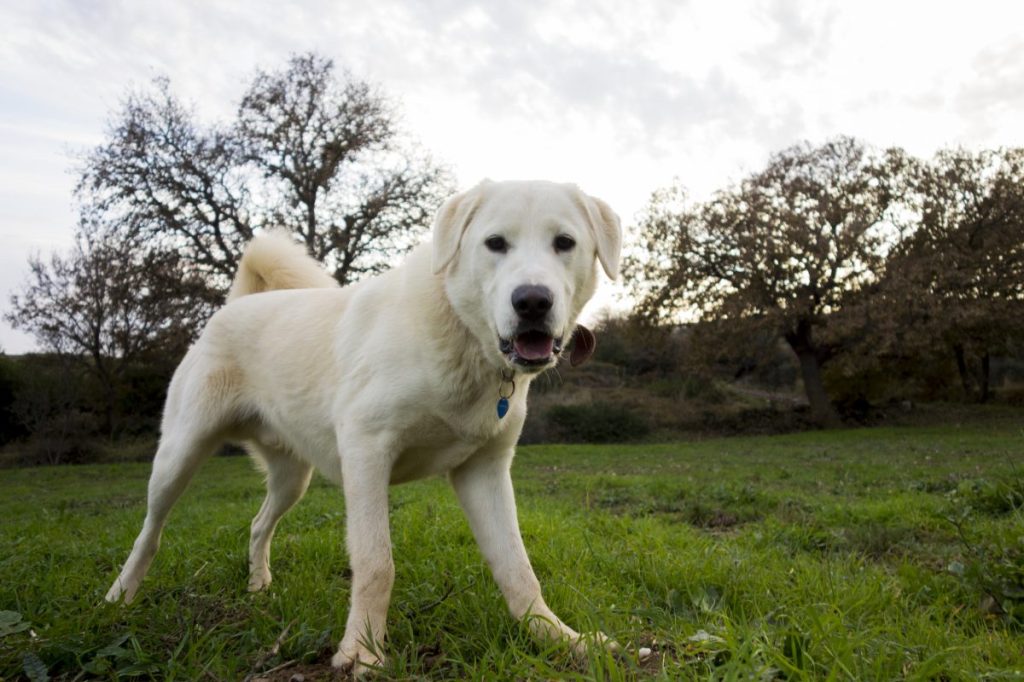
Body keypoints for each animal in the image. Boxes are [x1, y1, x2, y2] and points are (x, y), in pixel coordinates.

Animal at [110, 178, 622, 671]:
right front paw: (362, 652)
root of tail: (233, 306)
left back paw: (258, 586)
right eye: (495, 243)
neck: (458, 331)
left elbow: (518, 569)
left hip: (292, 478)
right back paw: (120, 596)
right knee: (149, 531)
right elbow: (377, 564)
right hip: (179, 456)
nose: (532, 301)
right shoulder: (367, 452)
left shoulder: (485, 472)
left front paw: (560, 639)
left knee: (257, 524)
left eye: (564, 242)